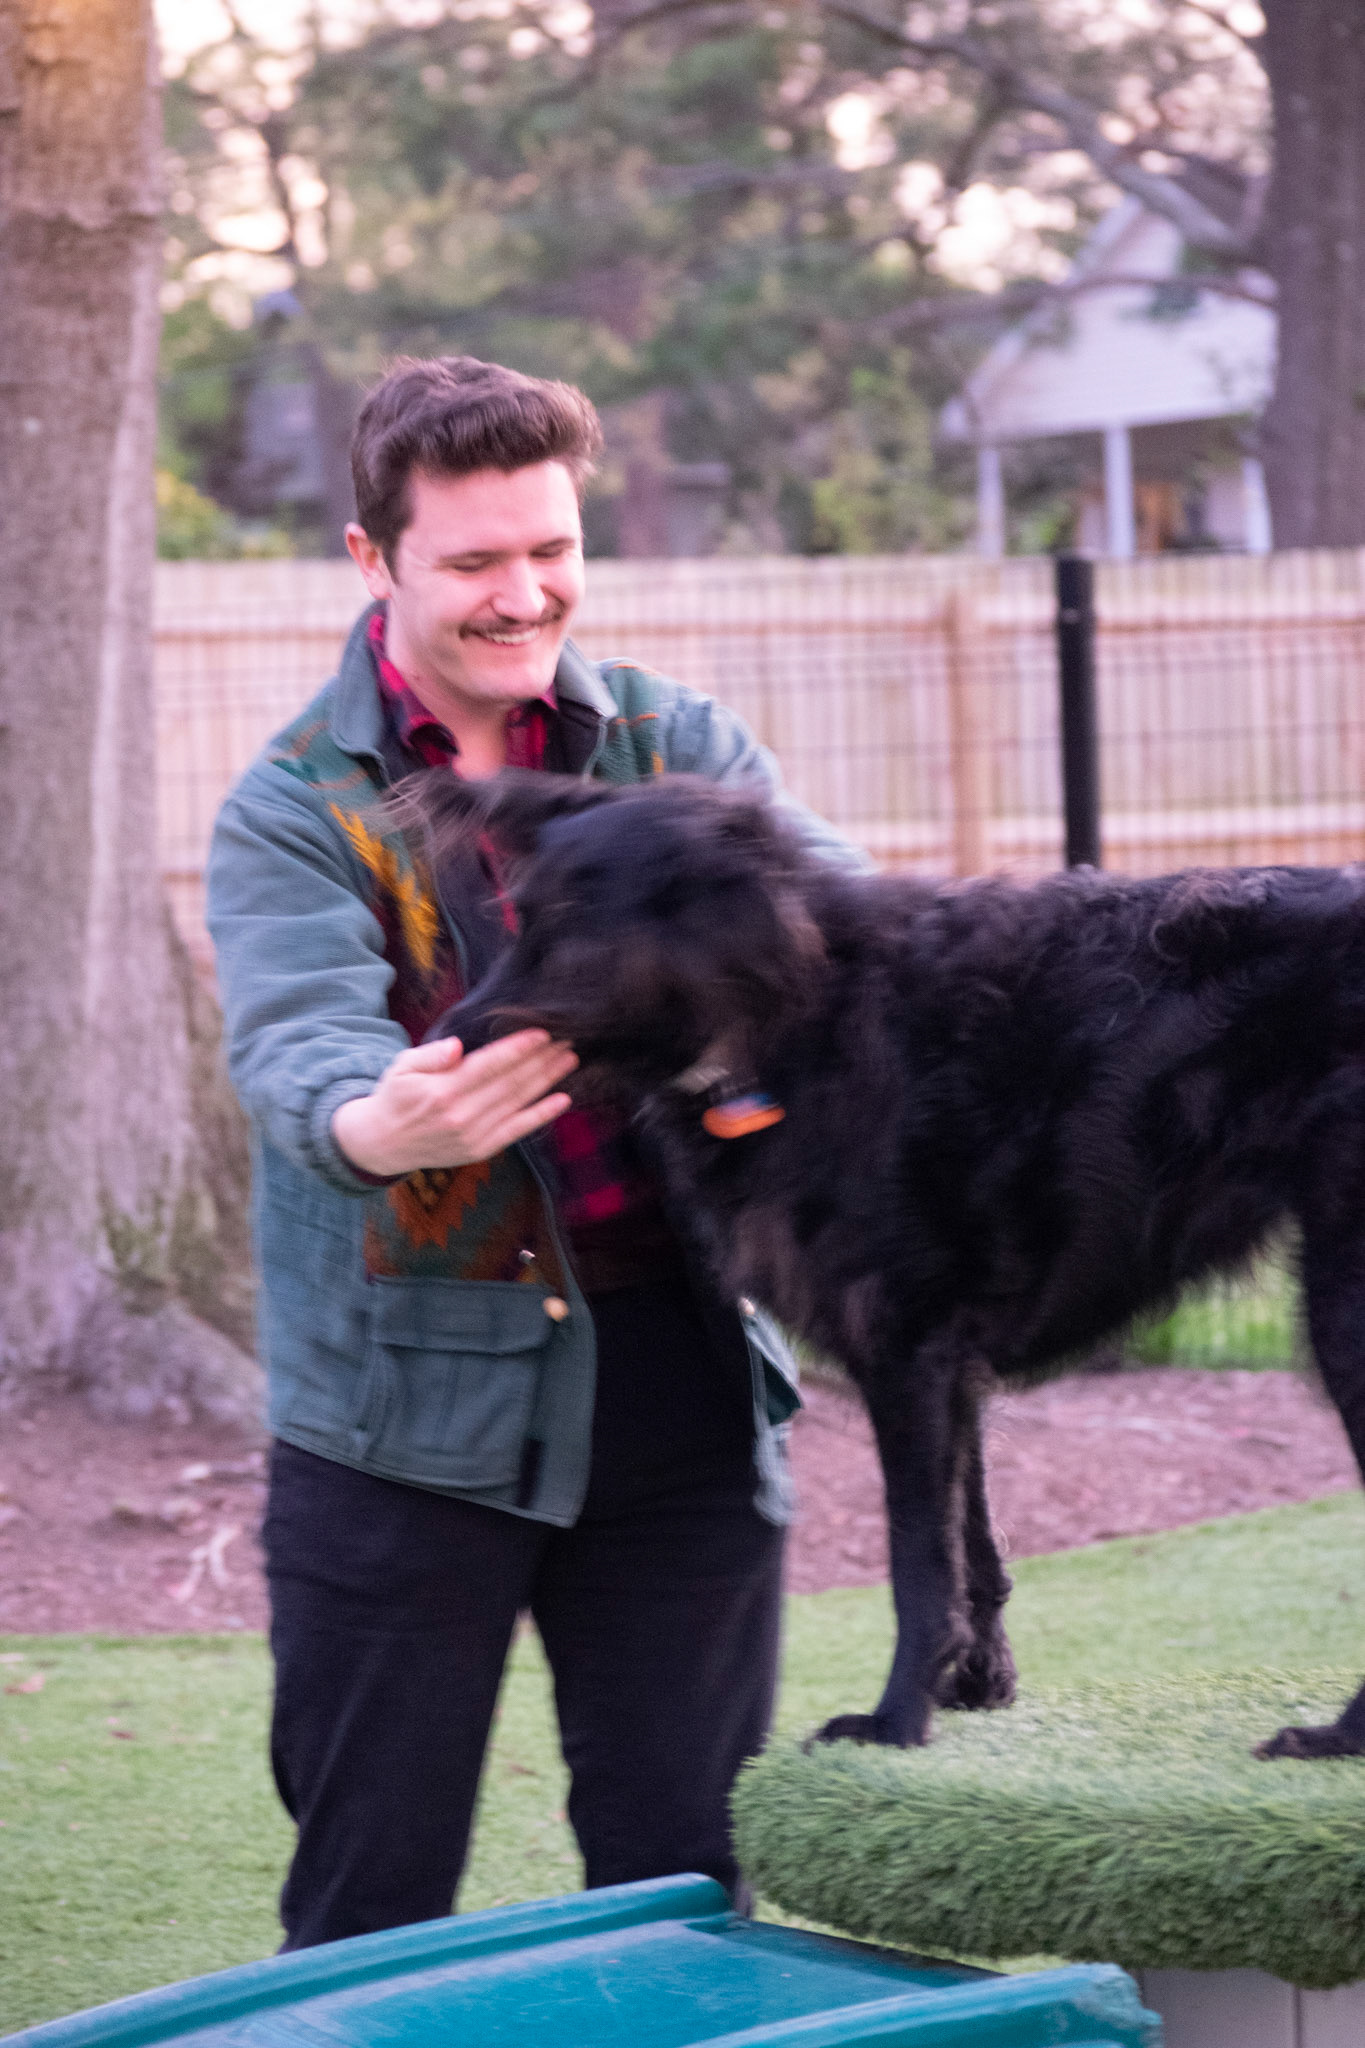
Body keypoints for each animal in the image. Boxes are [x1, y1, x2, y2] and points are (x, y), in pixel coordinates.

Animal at [413, 768, 1365, 1761]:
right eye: (520, 915)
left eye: (569, 920)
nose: (438, 1045)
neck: (796, 1015)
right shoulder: (948, 1362)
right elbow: (970, 1544)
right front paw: (974, 1682)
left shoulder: (905, 1346)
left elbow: (916, 1563)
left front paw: (896, 1719)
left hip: (1341, 1309)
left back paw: (1339, 1736)